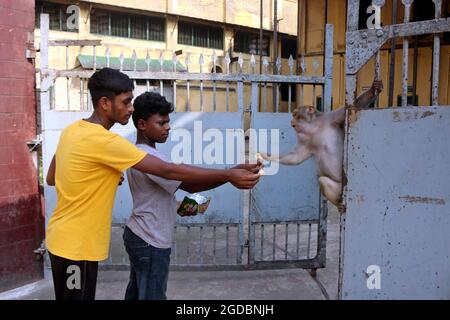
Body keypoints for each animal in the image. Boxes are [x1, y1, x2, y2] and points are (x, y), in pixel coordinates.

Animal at [260, 80, 384, 210]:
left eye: (295, 114)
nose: (291, 121)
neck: (314, 128)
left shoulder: (331, 117)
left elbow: (354, 106)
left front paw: (373, 89)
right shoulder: (305, 140)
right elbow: (296, 157)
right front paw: (266, 155)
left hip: (346, 184)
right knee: (323, 180)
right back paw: (339, 204)